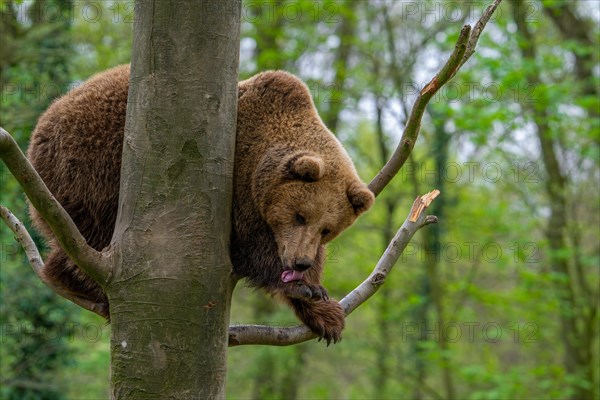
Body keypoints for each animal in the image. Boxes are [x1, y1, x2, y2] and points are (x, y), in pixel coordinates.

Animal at [29, 63, 376, 344]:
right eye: (300, 216)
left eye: (327, 229)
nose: (299, 263)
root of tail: (40, 126)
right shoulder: (239, 183)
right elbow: (253, 248)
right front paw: (302, 288)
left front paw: (325, 311)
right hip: (91, 167)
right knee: (95, 237)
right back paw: (86, 286)